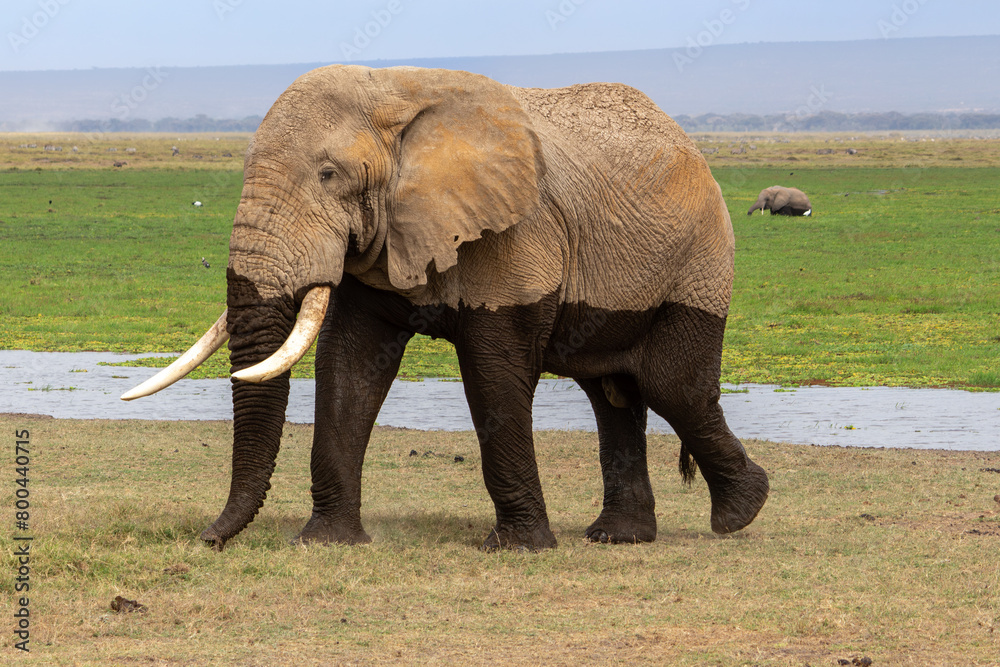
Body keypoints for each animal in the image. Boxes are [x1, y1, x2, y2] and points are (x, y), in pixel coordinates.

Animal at [122, 65, 769, 552]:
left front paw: (519, 549)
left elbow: (492, 375)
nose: (207, 540)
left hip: (702, 256)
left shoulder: (517, 231)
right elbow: (348, 365)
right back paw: (620, 537)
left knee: (671, 385)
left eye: (329, 175)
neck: (394, 90)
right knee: (612, 391)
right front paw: (327, 541)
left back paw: (742, 512)